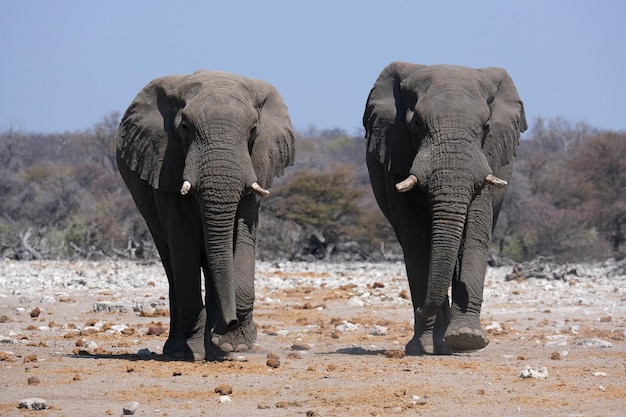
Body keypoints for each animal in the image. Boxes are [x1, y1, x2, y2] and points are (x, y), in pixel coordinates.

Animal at [115, 70, 294, 360]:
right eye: (185, 127)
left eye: (253, 130)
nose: (229, 322)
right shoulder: (166, 163)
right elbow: (183, 245)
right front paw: (190, 353)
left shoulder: (256, 164)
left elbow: (243, 238)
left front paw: (233, 345)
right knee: (172, 265)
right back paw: (180, 350)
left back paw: (216, 350)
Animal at [360, 62, 528, 354]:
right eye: (416, 124)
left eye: (486, 126)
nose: (420, 309)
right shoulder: (396, 154)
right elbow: (417, 240)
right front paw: (424, 347)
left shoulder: (486, 160)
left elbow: (474, 233)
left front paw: (466, 338)